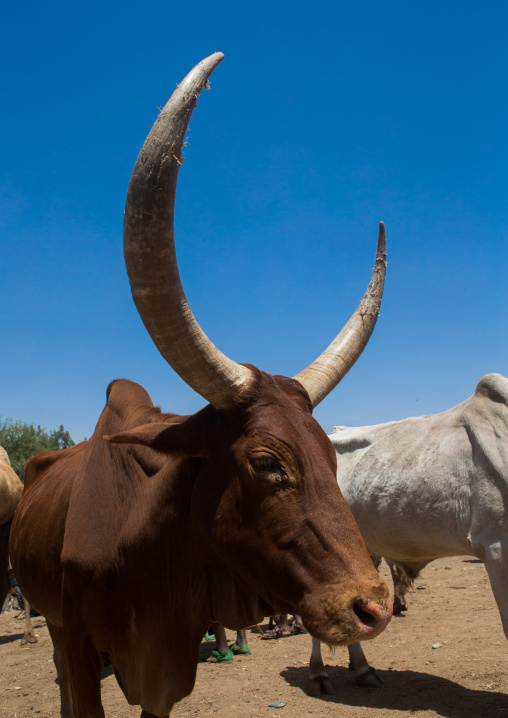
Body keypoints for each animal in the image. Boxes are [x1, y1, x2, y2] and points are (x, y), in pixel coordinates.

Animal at [10, 52, 393, 718]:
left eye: (332, 459)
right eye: (266, 462)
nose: (372, 606)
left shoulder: (166, 669)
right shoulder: (82, 646)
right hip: (54, 625)